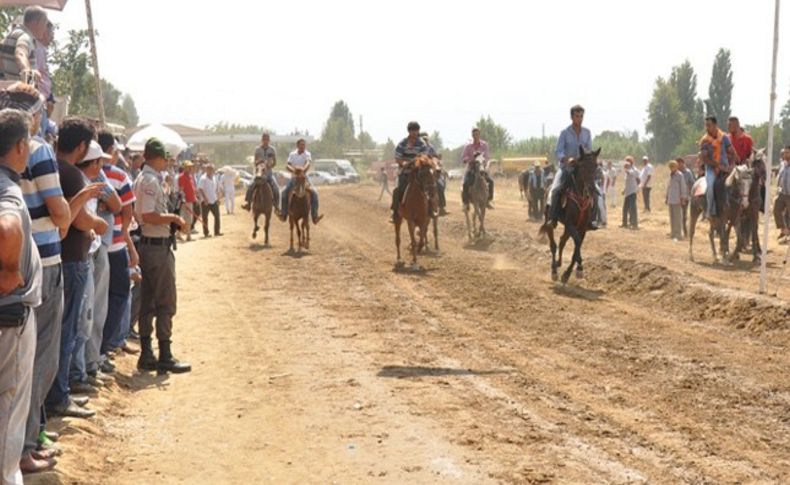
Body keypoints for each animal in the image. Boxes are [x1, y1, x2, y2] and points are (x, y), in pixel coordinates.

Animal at [540, 147, 604, 284]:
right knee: (553, 244)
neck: (580, 194)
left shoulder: (582, 227)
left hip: (569, 228)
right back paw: (554, 270)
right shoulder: (570, 224)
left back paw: (558, 263)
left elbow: (577, 247)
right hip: (550, 222)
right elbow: (577, 244)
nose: (591, 187)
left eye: (596, 165)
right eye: (583, 166)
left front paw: (573, 271)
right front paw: (571, 271)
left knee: (562, 241)